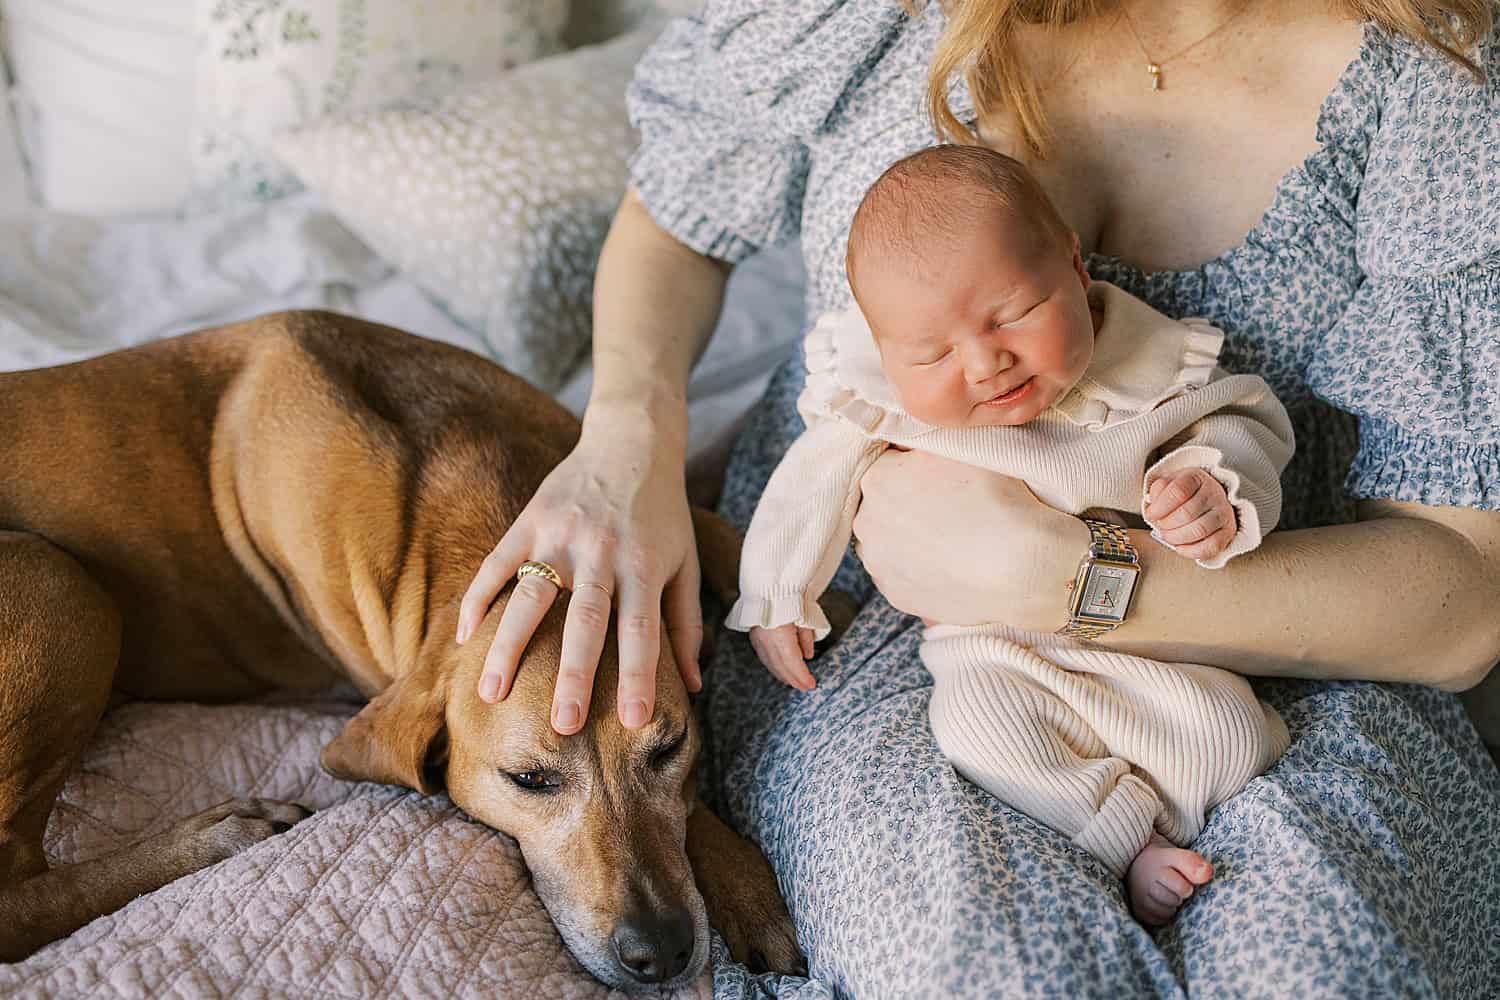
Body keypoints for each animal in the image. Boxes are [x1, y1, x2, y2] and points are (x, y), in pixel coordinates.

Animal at [0, 310, 810, 983]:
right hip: (58, 584)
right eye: (529, 780)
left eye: (669, 749)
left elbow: (713, 530)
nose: (661, 953)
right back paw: (214, 836)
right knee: (16, 895)